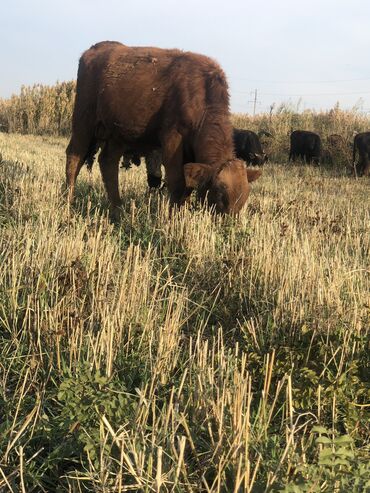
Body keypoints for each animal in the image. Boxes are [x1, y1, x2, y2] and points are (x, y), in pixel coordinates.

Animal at [66, 42, 262, 217]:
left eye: (245, 196)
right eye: (220, 194)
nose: (229, 223)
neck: (200, 96)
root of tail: (93, 50)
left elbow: (187, 186)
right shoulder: (172, 139)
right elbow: (176, 182)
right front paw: (172, 218)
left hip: (117, 134)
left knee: (108, 162)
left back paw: (117, 210)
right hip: (83, 122)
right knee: (75, 157)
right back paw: (68, 202)